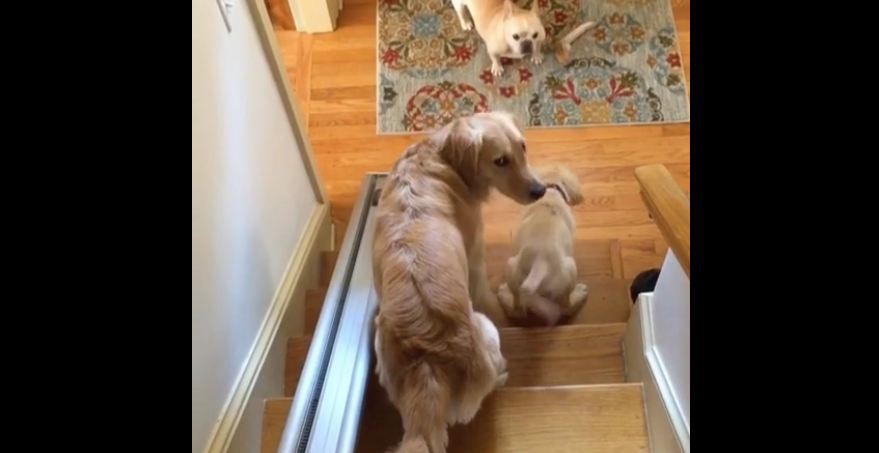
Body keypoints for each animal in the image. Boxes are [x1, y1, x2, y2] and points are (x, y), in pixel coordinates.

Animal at [374, 110, 548, 452]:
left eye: (523, 147)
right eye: (500, 161)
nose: (540, 191)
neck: (439, 157)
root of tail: (428, 361)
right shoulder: (476, 255)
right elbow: (487, 294)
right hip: (486, 332)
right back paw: (501, 375)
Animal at [498, 164, 588, 326]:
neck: (551, 190)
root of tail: (540, 263)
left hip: (511, 267)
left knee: (518, 309)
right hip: (570, 269)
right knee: (566, 308)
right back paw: (579, 294)